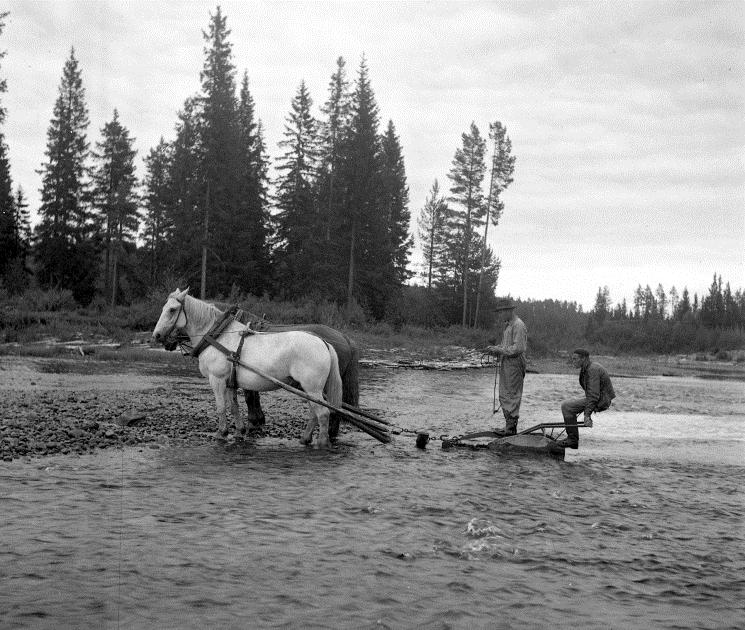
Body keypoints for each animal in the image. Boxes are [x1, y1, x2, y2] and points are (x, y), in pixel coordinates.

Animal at [155, 288, 346, 452]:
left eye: (172, 310)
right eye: (164, 308)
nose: (156, 335)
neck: (218, 337)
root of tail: (323, 342)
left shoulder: (216, 379)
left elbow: (221, 407)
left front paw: (221, 433)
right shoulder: (229, 382)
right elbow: (234, 407)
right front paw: (239, 432)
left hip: (312, 388)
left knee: (323, 414)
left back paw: (322, 443)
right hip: (308, 389)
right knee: (314, 413)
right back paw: (305, 439)